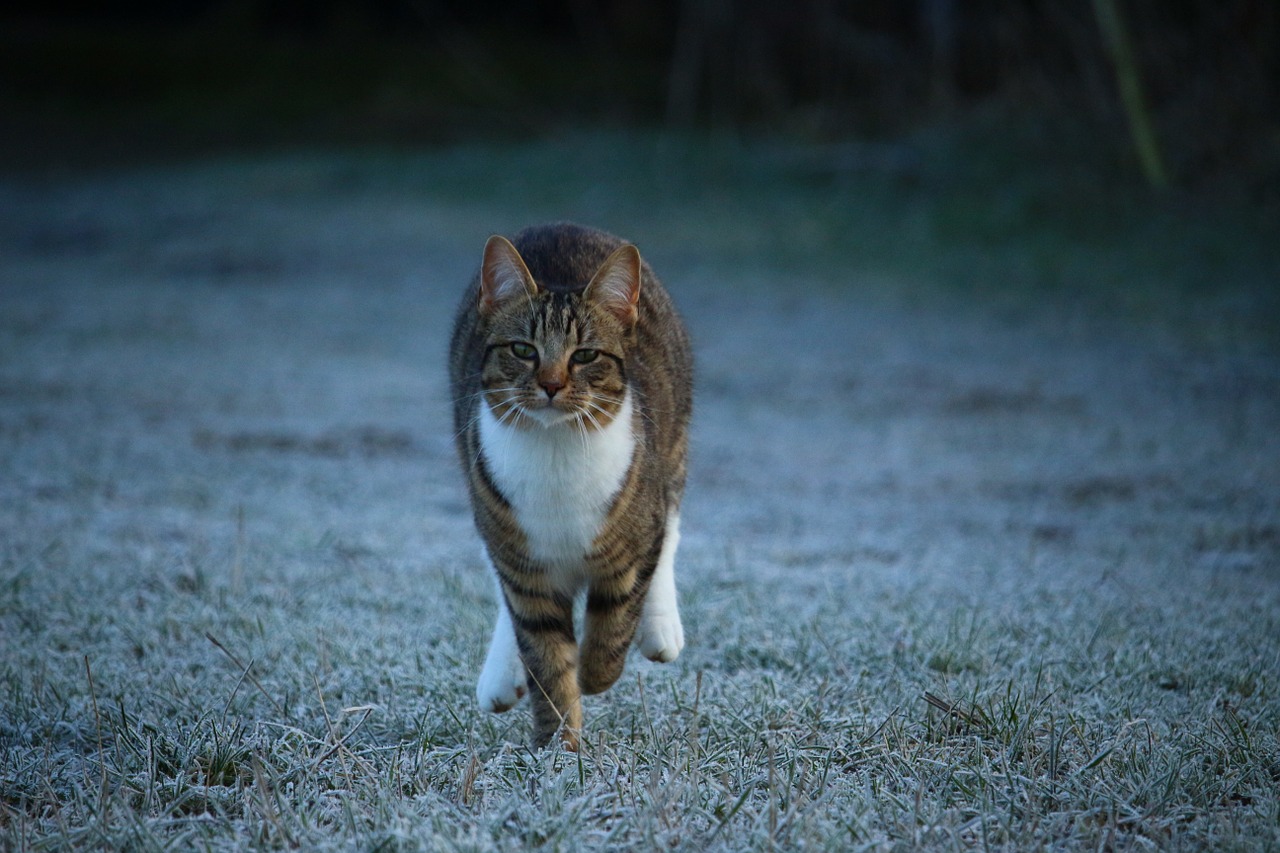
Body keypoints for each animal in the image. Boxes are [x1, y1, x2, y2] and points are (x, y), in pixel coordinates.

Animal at [448, 222, 691, 747]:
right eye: (523, 350)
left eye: (585, 356)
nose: (552, 384)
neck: (557, 450)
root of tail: (562, 224)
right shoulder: (524, 568)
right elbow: (545, 655)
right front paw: (557, 745)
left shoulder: (633, 547)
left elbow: (615, 623)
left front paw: (593, 673)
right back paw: (501, 675)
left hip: (674, 445)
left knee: (672, 526)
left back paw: (661, 630)